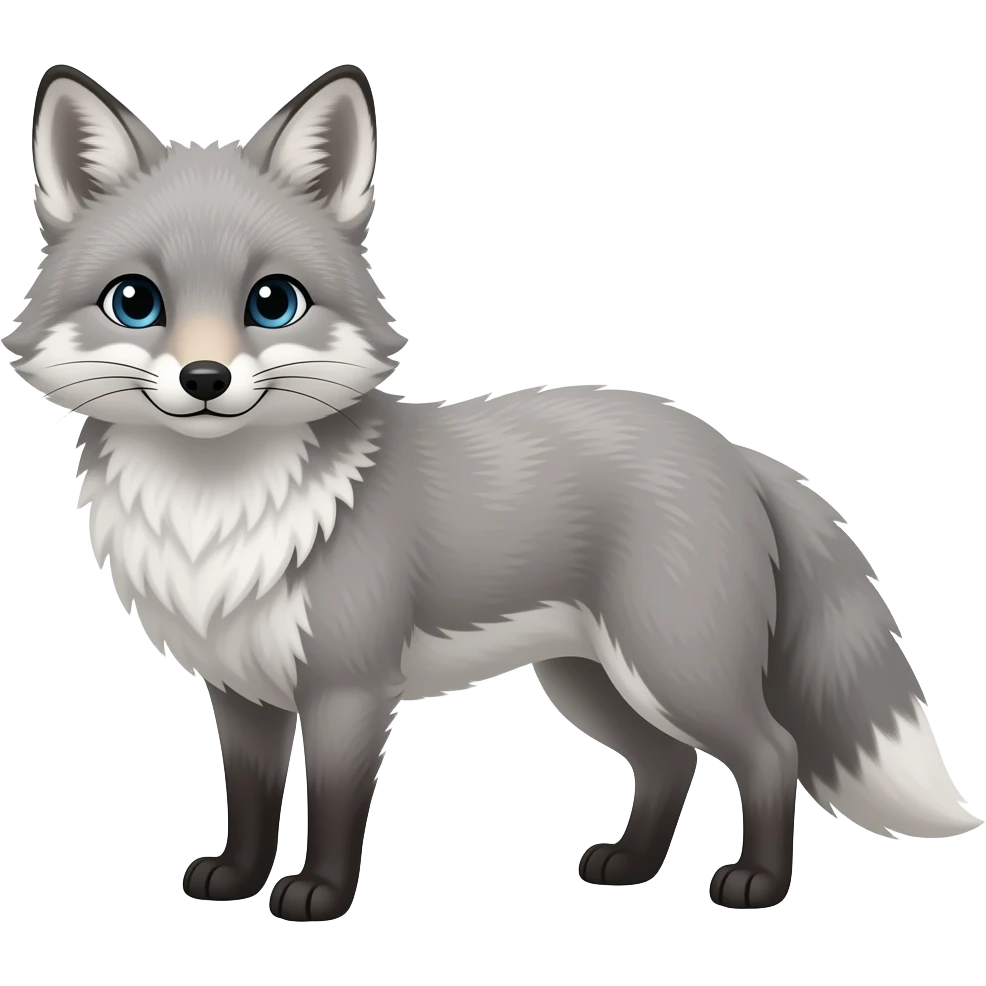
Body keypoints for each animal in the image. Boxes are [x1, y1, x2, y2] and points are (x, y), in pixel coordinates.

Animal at [6, 62, 982, 922]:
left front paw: (318, 896)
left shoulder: (349, 687)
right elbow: (249, 802)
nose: (204, 380)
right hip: (591, 681)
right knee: (670, 763)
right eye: (136, 302)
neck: (218, 517)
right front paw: (237, 881)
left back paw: (758, 884)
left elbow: (333, 807)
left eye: (273, 302)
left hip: (673, 665)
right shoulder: (242, 688)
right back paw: (630, 866)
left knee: (771, 751)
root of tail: (731, 448)